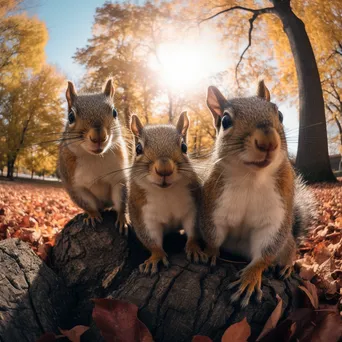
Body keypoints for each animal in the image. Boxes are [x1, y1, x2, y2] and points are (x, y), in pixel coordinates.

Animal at [58, 79, 129, 232]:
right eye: (70, 117)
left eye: (115, 112)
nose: (99, 137)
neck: (95, 157)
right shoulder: (75, 185)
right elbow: (87, 203)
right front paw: (92, 216)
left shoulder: (119, 178)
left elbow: (121, 199)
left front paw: (123, 219)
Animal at [127, 112, 204, 276]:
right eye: (138, 148)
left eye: (184, 147)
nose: (164, 169)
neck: (165, 193)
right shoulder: (143, 215)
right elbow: (151, 239)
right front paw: (155, 257)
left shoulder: (192, 208)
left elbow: (193, 230)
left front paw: (194, 248)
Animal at [200, 80, 316, 308]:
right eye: (225, 120)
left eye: (279, 114)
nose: (268, 141)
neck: (251, 178)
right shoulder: (214, 205)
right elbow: (213, 234)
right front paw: (209, 253)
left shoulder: (276, 214)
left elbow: (266, 249)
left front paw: (251, 277)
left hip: (288, 242)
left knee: (288, 248)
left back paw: (285, 265)